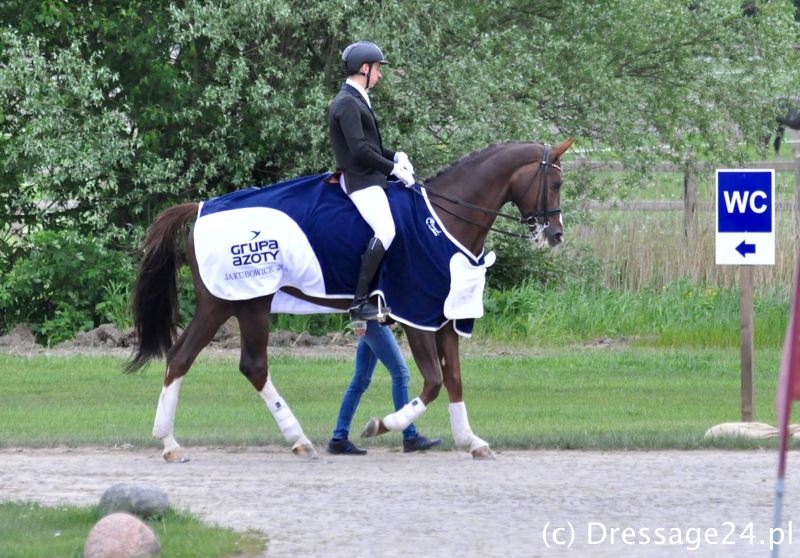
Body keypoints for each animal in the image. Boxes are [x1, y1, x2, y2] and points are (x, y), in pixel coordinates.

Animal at [126, 138, 575, 462]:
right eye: (555, 184)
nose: (555, 235)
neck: (442, 220)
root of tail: (201, 207)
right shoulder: (416, 315)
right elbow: (432, 383)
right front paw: (381, 424)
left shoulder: (445, 316)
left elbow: (454, 381)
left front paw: (471, 440)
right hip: (242, 303)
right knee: (244, 364)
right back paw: (288, 439)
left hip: (228, 304)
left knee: (183, 357)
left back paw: (172, 442)